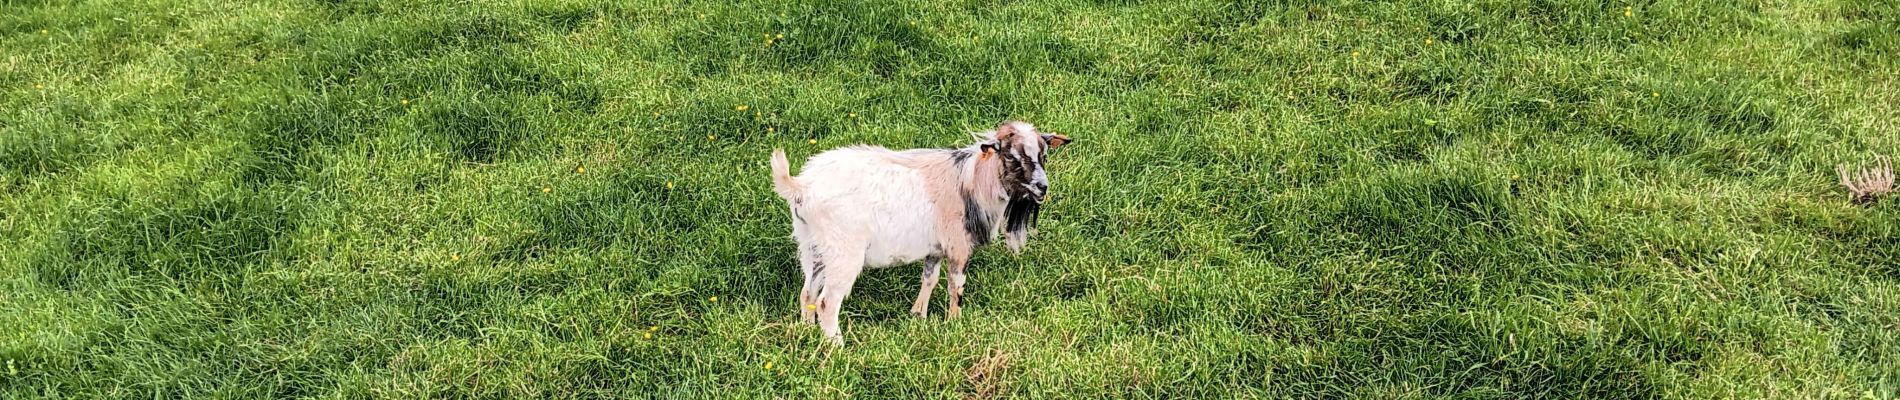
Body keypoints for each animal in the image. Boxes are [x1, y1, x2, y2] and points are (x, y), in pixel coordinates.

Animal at [767, 121, 1071, 343]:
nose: (1042, 187)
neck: (971, 181)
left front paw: (918, 316)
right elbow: (955, 286)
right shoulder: (958, 246)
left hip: (812, 248)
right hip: (843, 253)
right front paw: (954, 323)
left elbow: (930, 279)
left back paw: (808, 333)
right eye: (1011, 155)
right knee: (827, 303)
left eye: (1043, 155)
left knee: (807, 293)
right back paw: (837, 346)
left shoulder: (934, 248)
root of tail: (801, 187)